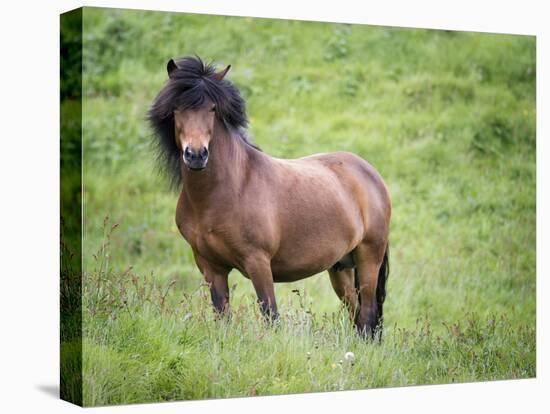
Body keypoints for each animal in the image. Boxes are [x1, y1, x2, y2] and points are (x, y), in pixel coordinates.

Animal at [150, 56, 392, 338]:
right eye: (177, 108)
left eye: (212, 108)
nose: (196, 154)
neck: (228, 190)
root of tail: (370, 174)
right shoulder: (210, 267)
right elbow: (222, 315)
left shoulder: (258, 262)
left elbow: (270, 316)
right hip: (341, 267)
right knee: (355, 314)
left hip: (368, 258)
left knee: (367, 316)